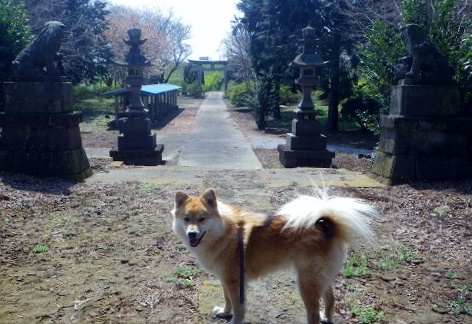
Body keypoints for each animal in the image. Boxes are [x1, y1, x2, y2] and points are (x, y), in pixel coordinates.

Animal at [171, 189, 378, 322]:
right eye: (186, 219)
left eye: (202, 219)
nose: (192, 234)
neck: (225, 231)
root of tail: (326, 225)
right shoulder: (225, 279)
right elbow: (228, 300)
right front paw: (224, 312)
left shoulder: (234, 281)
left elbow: (238, 307)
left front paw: (233, 320)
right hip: (319, 278)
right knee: (330, 300)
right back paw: (327, 317)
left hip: (306, 283)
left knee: (313, 314)